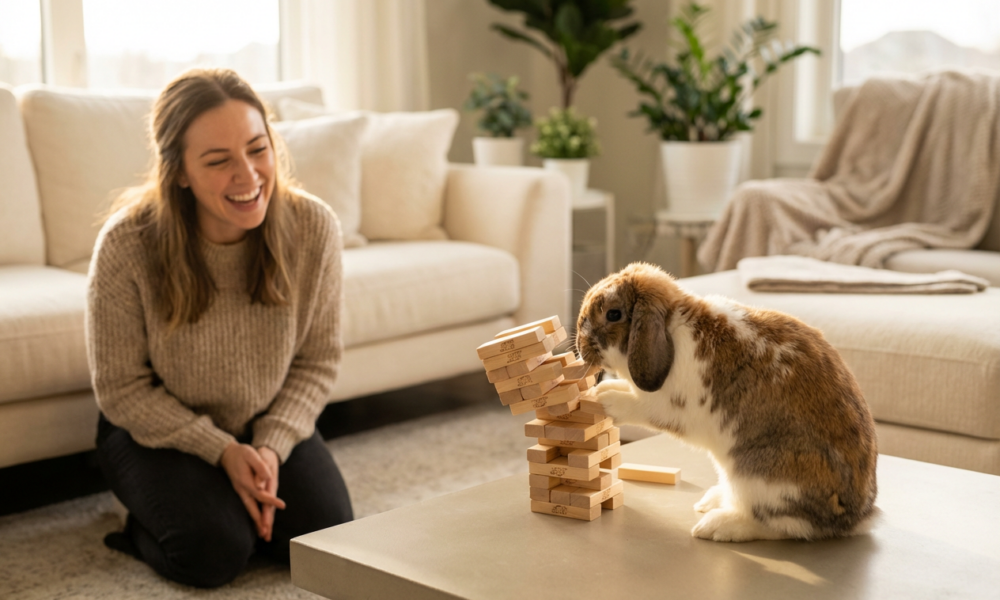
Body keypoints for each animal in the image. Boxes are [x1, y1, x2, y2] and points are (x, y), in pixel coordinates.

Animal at [575, 262, 878, 542]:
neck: (673, 329)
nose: (579, 343)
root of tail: (857, 518)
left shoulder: (670, 406)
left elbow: (641, 406)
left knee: (784, 525)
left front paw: (606, 399)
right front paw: (604, 388)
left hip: (759, 474)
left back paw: (717, 525)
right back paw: (712, 500)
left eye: (613, 314)